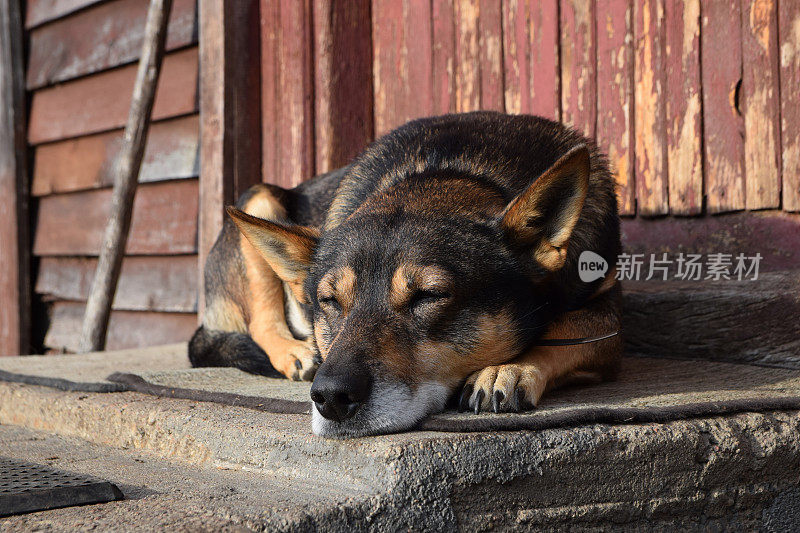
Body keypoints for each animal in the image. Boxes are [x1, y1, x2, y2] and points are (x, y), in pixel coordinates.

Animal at [191, 110, 620, 434]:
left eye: (428, 296)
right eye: (329, 301)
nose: (330, 397)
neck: (448, 171)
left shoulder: (608, 307)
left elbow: (568, 327)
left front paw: (507, 368)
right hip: (259, 197)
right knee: (261, 322)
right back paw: (295, 352)